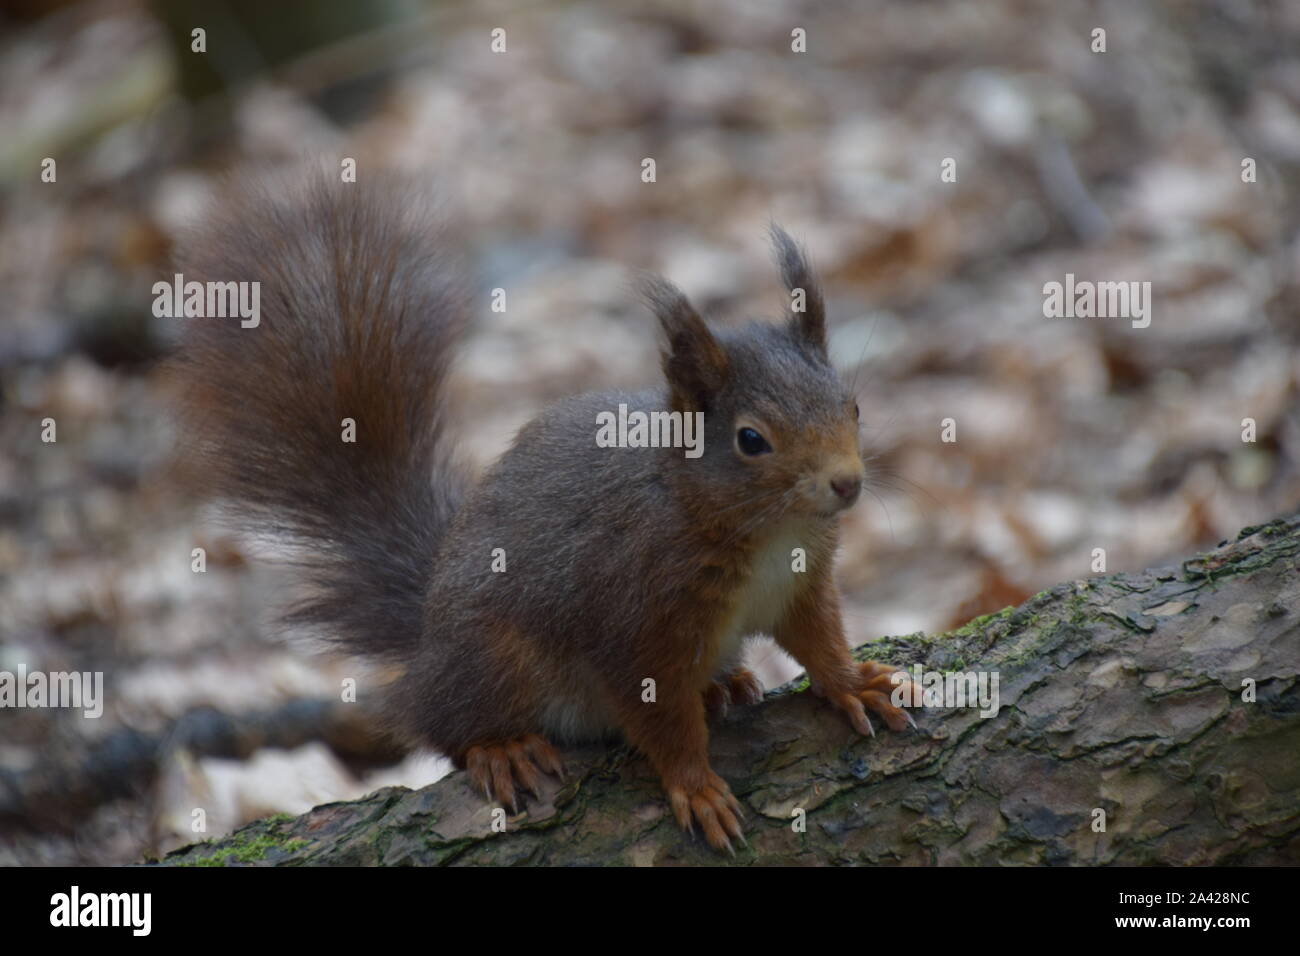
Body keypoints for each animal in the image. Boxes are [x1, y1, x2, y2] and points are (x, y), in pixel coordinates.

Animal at [172, 171, 920, 853]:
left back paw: (723, 684)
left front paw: (856, 685)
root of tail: (428, 640)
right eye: (751, 440)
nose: (847, 483)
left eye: (852, 405)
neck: (763, 532)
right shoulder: (634, 614)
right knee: (444, 726)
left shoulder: (801, 583)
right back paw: (501, 748)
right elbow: (657, 716)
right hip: (494, 657)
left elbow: (819, 639)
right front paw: (696, 786)